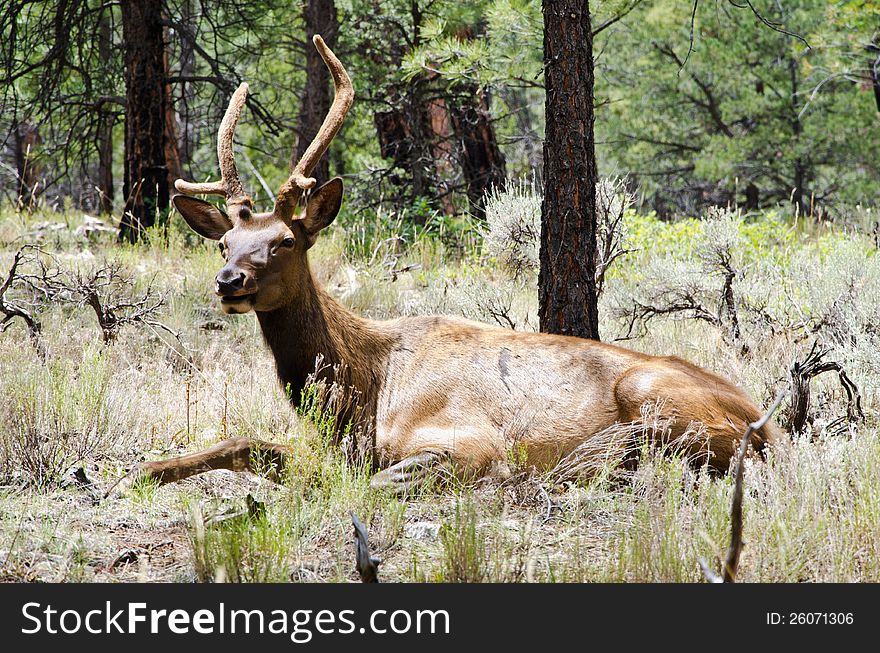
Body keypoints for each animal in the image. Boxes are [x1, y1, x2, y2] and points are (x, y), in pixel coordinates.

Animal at [108, 35, 776, 494]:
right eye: (226, 243)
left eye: (285, 241)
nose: (230, 281)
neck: (362, 391)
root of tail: (766, 421)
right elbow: (238, 441)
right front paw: (137, 472)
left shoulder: (464, 440)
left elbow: (368, 485)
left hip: (657, 397)